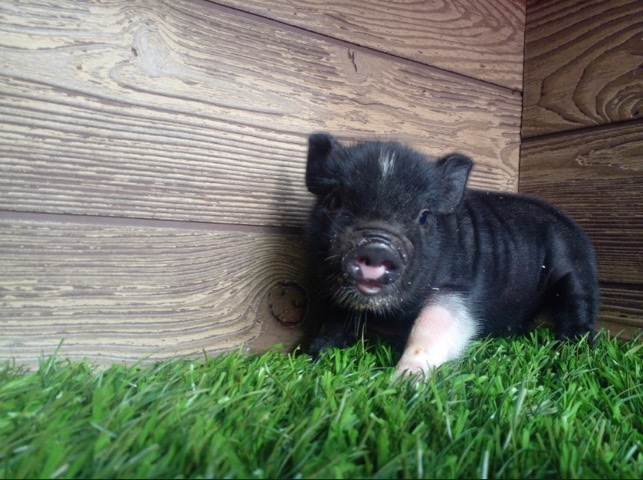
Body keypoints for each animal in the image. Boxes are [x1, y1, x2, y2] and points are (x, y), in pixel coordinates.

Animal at [303, 132, 599, 378]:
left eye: (423, 215)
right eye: (334, 201)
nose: (377, 246)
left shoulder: (457, 288)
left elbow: (433, 324)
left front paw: (403, 382)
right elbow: (334, 324)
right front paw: (310, 357)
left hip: (574, 269)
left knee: (578, 307)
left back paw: (571, 350)